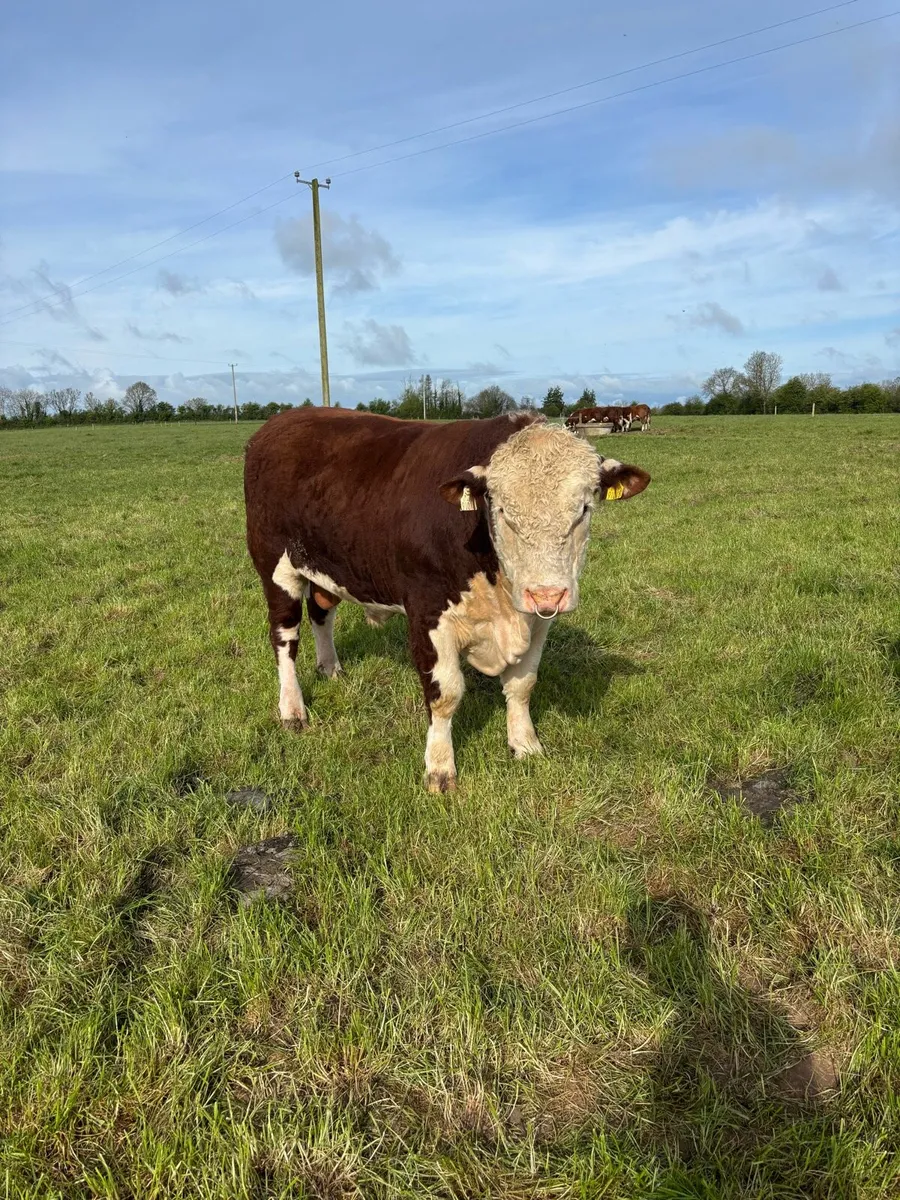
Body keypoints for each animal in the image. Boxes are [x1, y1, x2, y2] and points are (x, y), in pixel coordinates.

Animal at [244, 409, 650, 792]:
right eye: (501, 510)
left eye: (584, 508)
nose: (547, 593)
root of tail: (284, 419)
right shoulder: (427, 614)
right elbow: (445, 694)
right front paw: (440, 768)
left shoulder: (537, 622)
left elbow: (522, 685)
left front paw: (526, 745)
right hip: (276, 566)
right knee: (284, 637)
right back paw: (292, 708)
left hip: (326, 567)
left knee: (321, 613)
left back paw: (330, 668)